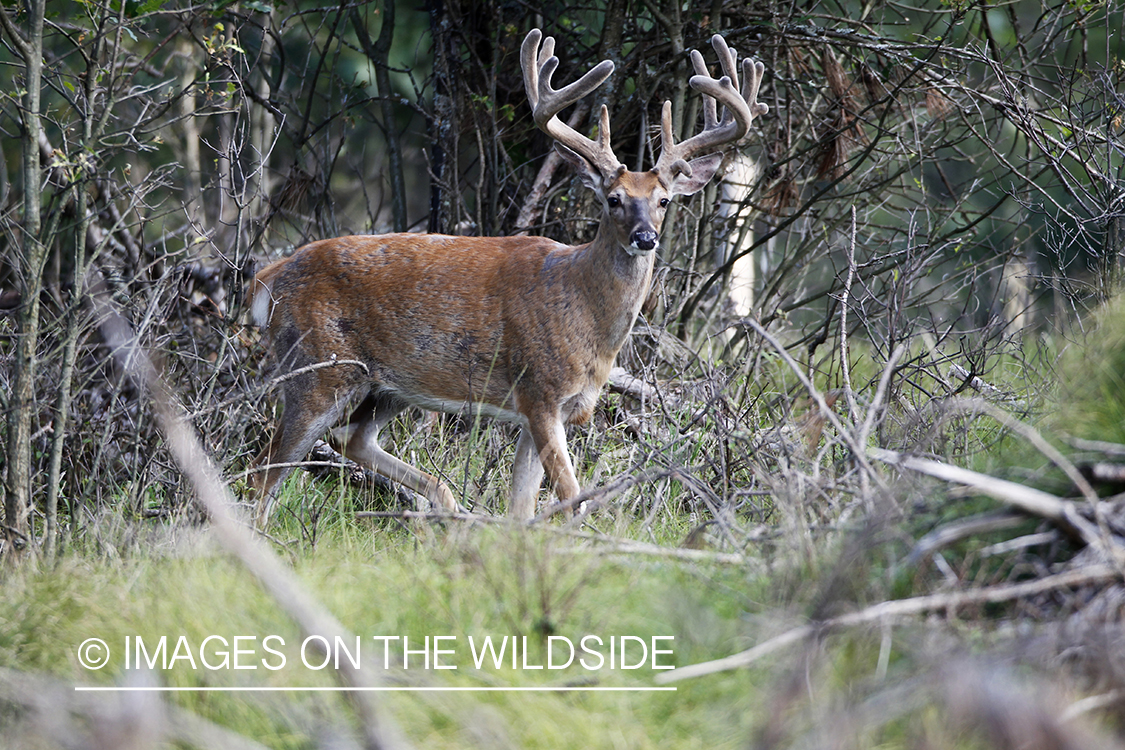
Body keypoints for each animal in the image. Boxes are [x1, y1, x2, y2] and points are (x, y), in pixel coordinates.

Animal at [249, 27, 769, 521]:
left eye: (664, 200)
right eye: (613, 199)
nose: (646, 237)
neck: (585, 313)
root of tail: (270, 277)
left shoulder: (546, 411)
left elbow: (521, 510)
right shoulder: (539, 391)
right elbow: (573, 499)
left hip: (389, 385)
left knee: (350, 439)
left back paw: (445, 502)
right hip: (318, 368)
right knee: (265, 472)